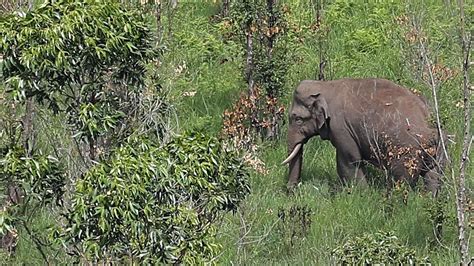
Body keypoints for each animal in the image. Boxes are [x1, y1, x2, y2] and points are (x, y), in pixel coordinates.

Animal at [282, 77, 444, 195]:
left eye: (298, 119)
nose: (290, 191)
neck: (325, 86)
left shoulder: (340, 127)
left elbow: (349, 161)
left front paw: (360, 194)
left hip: (406, 152)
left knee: (402, 179)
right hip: (439, 150)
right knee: (434, 175)